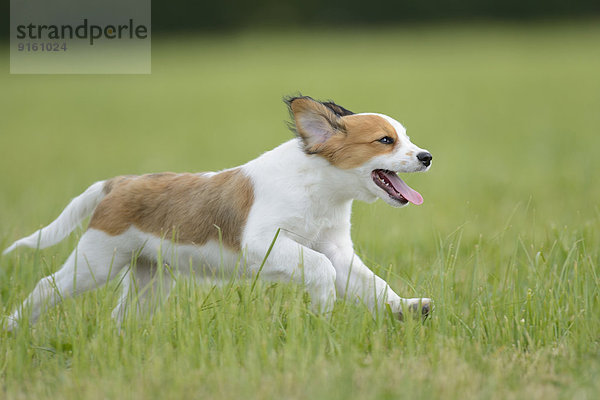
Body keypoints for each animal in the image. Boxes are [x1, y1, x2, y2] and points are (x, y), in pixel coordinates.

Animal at [2, 95, 434, 330]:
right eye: (386, 141)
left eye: (406, 138)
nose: (427, 157)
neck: (319, 189)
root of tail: (118, 183)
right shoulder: (264, 242)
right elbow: (320, 269)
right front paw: (323, 306)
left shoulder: (337, 251)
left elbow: (373, 284)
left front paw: (406, 308)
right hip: (96, 262)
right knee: (47, 286)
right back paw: (14, 328)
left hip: (151, 281)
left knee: (121, 317)